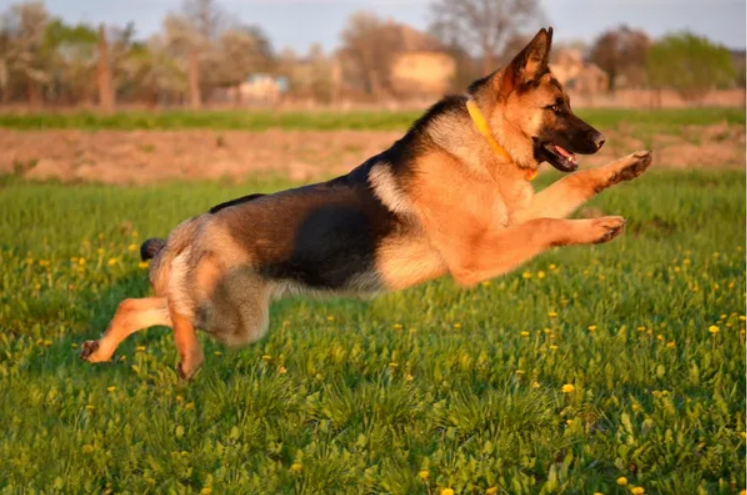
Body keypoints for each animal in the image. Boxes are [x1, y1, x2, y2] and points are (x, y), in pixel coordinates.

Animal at [82, 28, 652, 380]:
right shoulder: (478, 255)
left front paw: (624, 168)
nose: (601, 140)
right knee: (173, 311)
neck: (483, 143)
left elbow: (567, 195)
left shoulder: (508, 222)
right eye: (557, 107)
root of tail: (197, 223)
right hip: (237, 323)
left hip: (231, 316)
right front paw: (600, 228)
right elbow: (548, 226)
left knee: (137, 304)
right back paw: (187, 357)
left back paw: (104, 349)